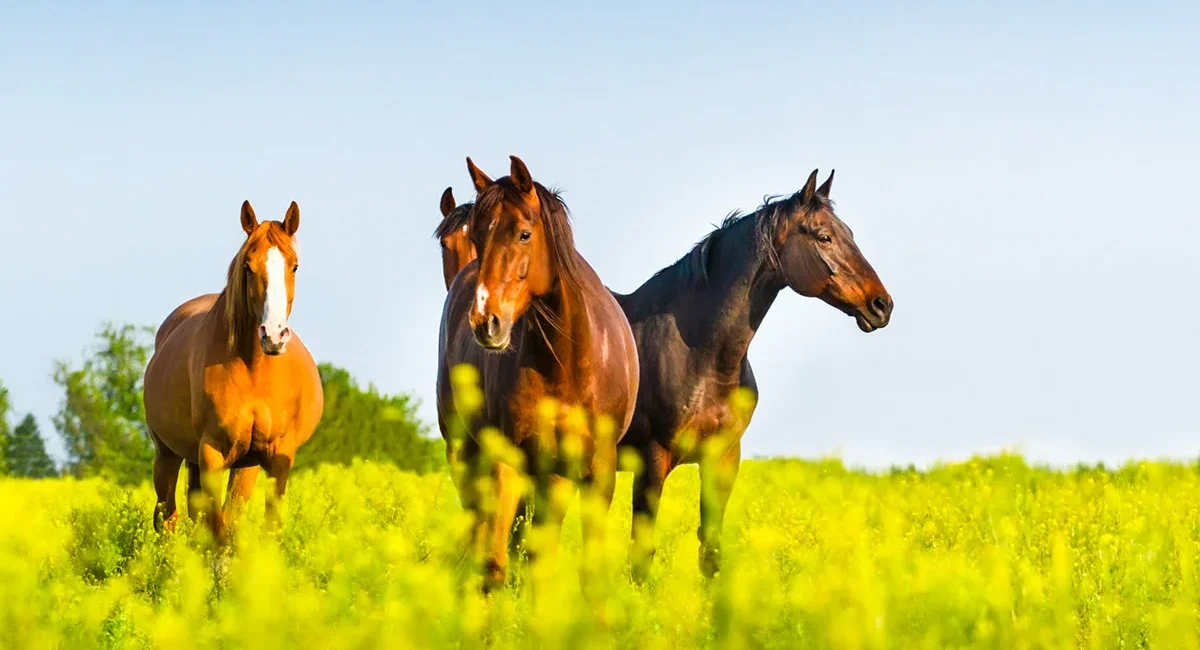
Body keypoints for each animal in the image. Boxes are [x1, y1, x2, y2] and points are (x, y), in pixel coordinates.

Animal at [143, 201, 324, 539]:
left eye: (294, 266)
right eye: (248, 266)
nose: (273, 336)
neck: (254, 369)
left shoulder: (276, 458)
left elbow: (256, 525)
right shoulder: (212, 454)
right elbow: (218, 530)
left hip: (241, 464)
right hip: (167, 454)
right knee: (167, 516)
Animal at [436, 156, 639, 590]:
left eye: (524, 234)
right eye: (478, 237)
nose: (485, 321)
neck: (566, 361)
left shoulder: (598, 471)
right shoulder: (507, 462)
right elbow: (494, 563)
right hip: (465, 452)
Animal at [614, 169, 893, 580]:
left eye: (849, 233)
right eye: (824, 236)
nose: (881, 305)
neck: (700, 357)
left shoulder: (723, 460)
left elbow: (711, 552)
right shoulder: (652, 459)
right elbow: (640, 556)